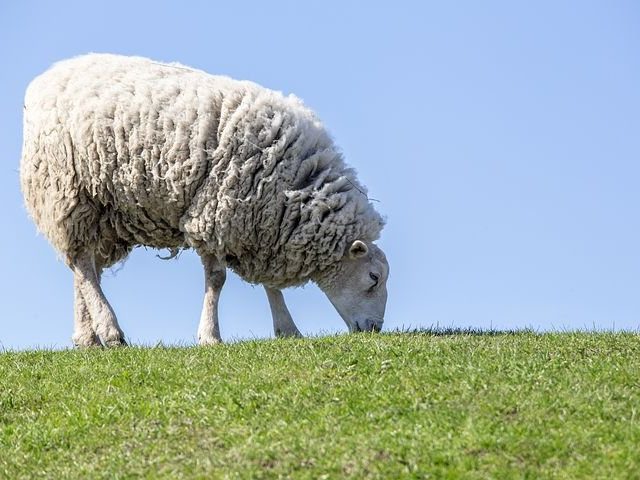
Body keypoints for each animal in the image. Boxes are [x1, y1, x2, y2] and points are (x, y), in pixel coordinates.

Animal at [20, 53, 390, 344]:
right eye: (374, 278)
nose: (374, 329)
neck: (294, 184)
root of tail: (46, 78)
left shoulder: (262, 226)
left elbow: (270, 285)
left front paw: (287, 329)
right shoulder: (217, 214)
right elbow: (217, 280)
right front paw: (210, 335)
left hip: (100, 210)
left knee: (84, 268)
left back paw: (87, 336)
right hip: (68, 190)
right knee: (83, 264)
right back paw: (110, 331)